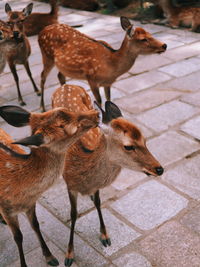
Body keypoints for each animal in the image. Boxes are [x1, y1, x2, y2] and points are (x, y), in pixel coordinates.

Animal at [0, 104, 98, 267]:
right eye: (68, 128)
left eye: (66, 109)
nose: (96, 113)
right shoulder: (7, 209)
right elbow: (18, 237)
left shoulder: (30, 203)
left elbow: (36, 225)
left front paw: (50, 257)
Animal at [38, 15, 167, 112]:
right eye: (143, 39)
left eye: (150, 34)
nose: (164, 45)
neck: (111, 64)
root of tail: (41, 31)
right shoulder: (91, 78)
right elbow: (99, 101)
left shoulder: (108, 83)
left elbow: (108, 100)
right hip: (46, 56)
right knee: (43, 76)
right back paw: (42, 107)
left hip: (61, 65)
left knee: (60, 75)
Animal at [52, 84, 164, 267]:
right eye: (128, 146)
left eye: (145, 140)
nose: (159, 169)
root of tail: (67, 85)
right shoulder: (70, 184)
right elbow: (73, 214)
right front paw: (69, 255)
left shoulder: (95, 186)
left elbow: (98, 203)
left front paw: (105, 236)